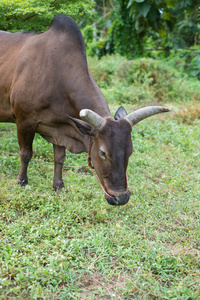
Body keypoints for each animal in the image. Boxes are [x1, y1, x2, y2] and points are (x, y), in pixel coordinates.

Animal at [0, 15, 170, 205]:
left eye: (131, 151)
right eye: (103, 152)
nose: (121, 197)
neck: (56, 77)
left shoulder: (59, 129)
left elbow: (59, 158)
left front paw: (59, 185)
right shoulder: (24, 121)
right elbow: (26, 154)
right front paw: (21, 181)